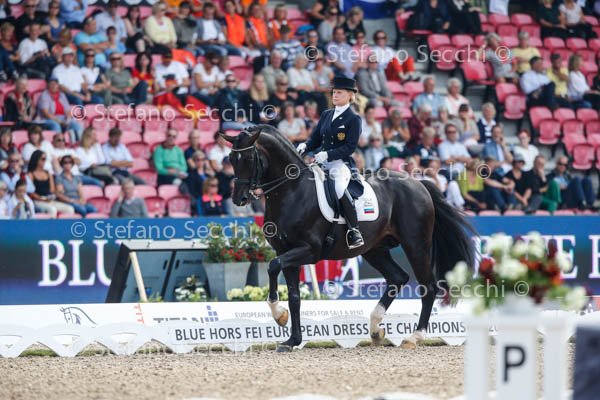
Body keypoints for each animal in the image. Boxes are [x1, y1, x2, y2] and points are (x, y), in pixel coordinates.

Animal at [221, 124, 475, 351]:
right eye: (232, 159)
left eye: (248, 159)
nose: (238, 199)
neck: (291, 191)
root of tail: (419, 184)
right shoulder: (285, 252)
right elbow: (293, 296)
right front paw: (291, 339)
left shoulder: (309, 251)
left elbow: (273, 267)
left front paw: (279, 316)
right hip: (375, 249)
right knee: (398, 278)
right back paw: (375, 330)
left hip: (416, 245)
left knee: (428, 287)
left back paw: (413, 337)